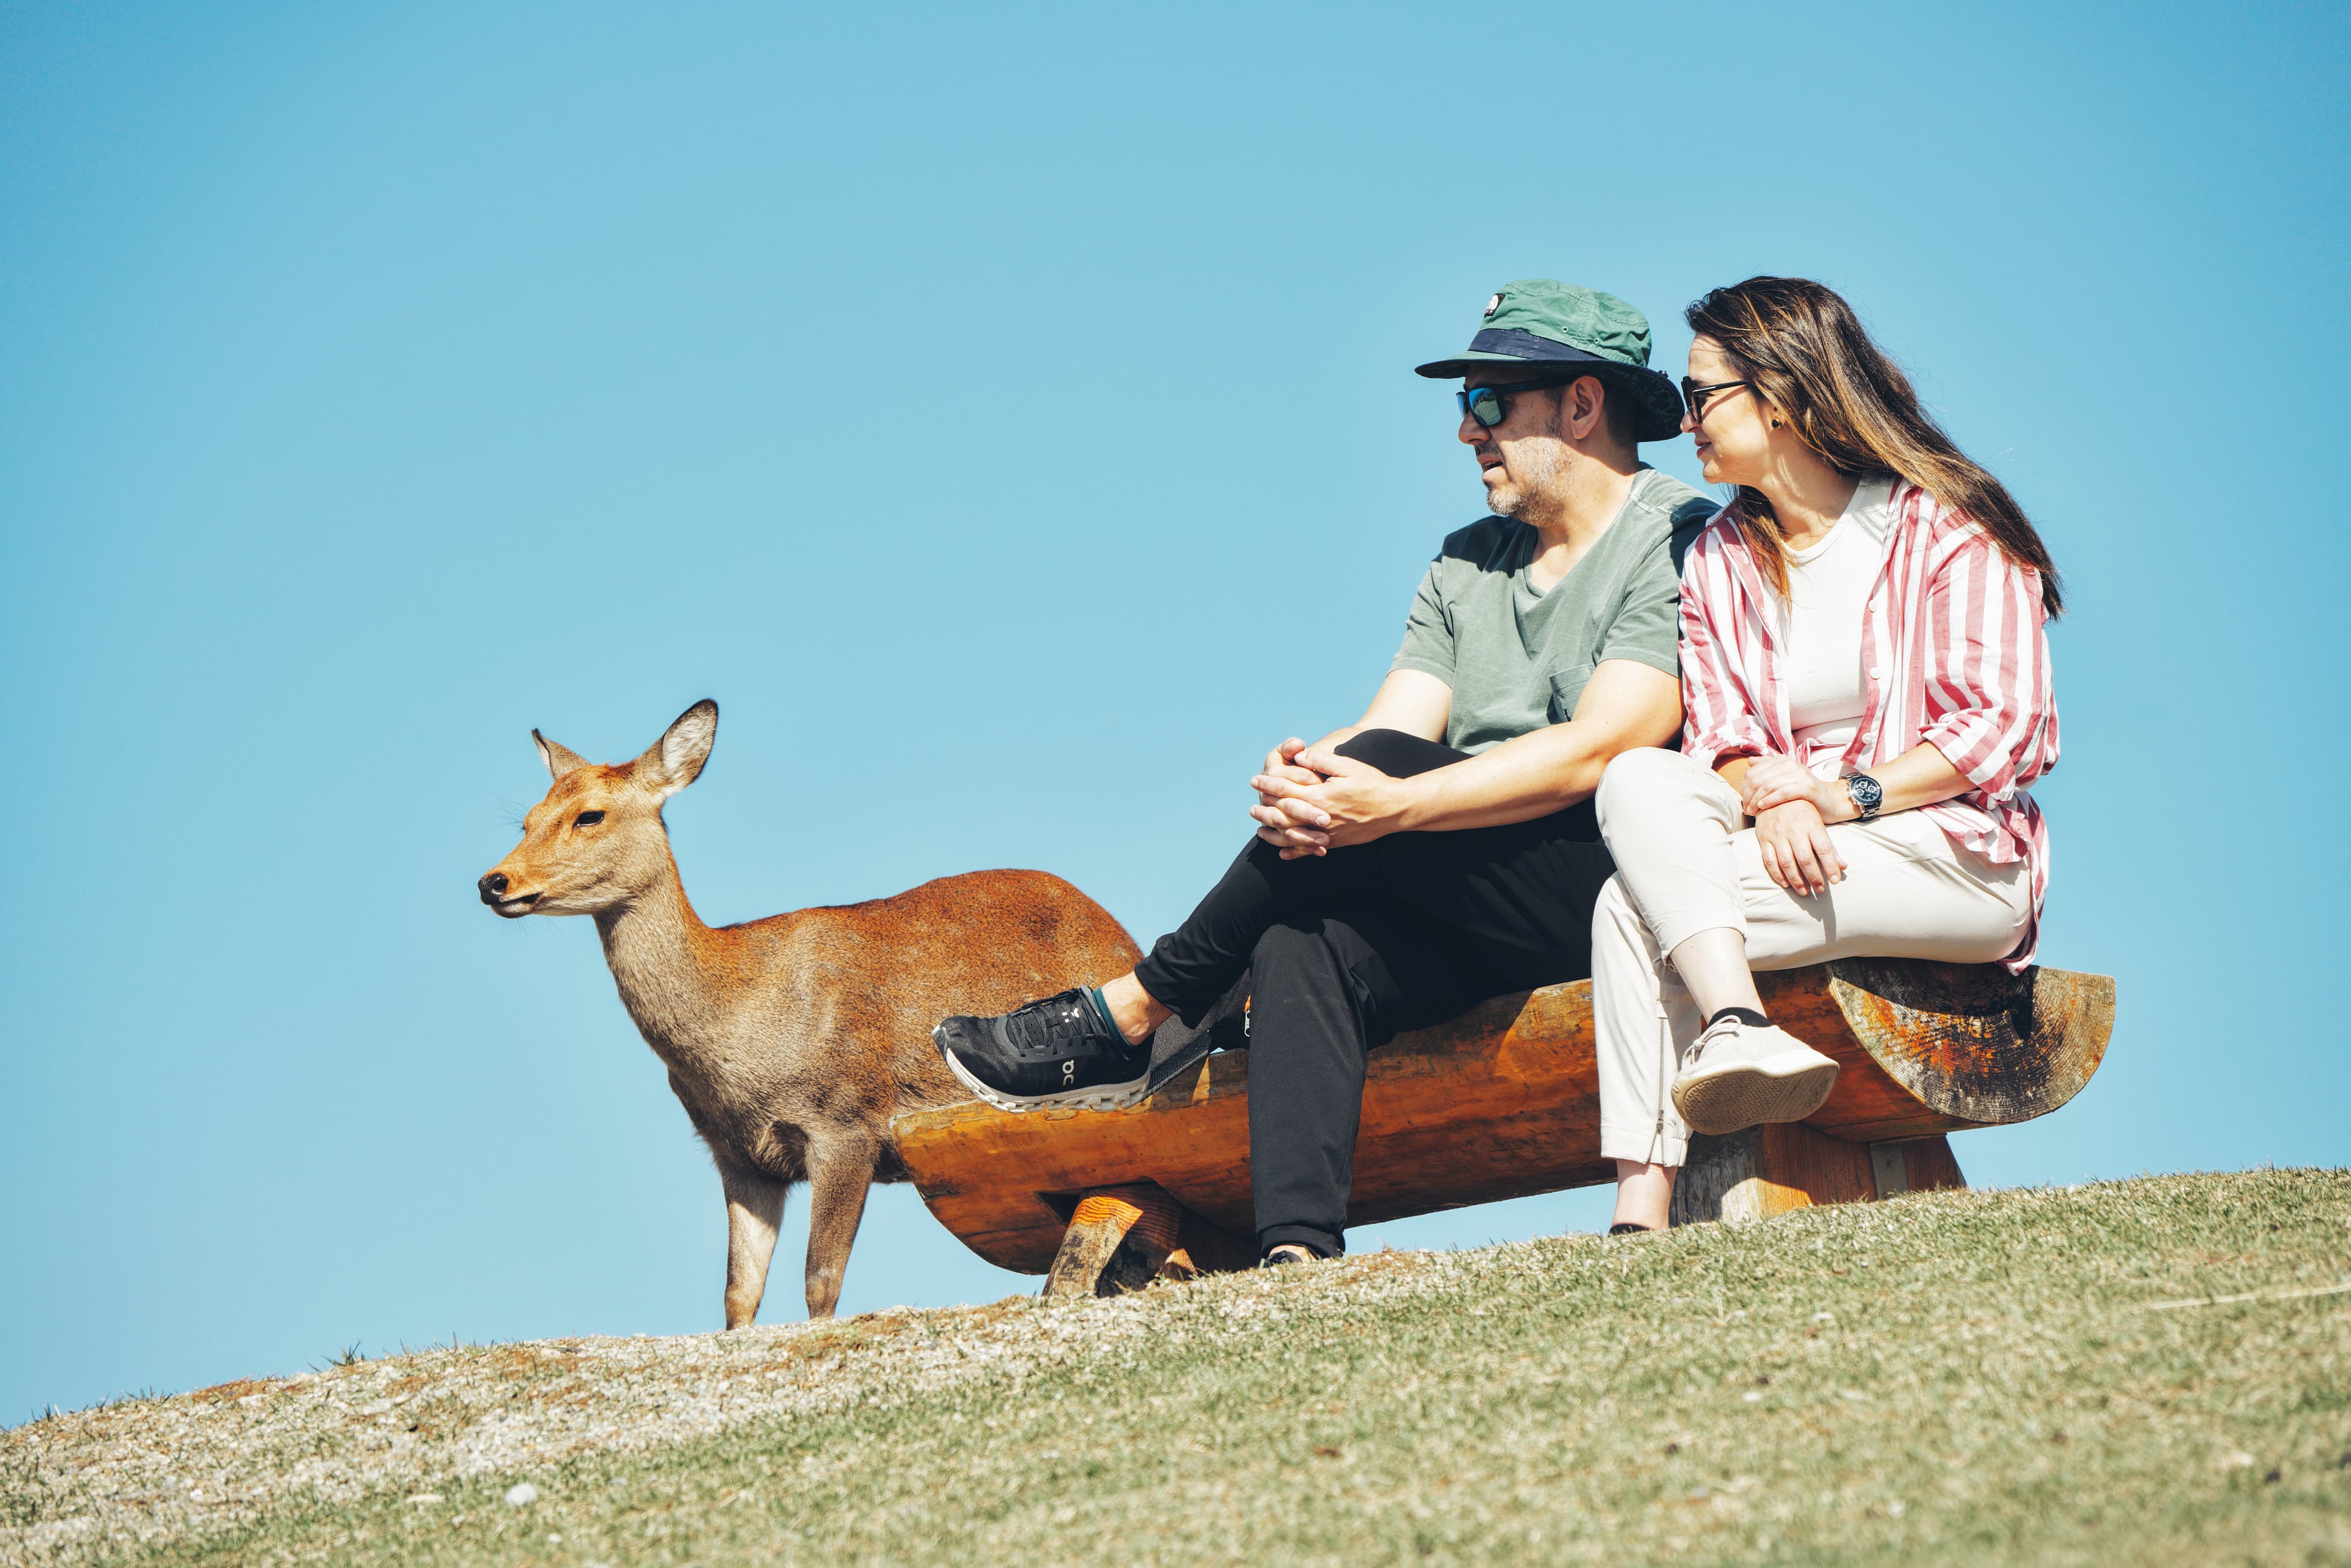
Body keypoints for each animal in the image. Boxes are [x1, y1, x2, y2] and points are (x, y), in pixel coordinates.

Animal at [476, 699, 1141, 1325]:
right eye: (527, 819)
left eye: (590, 814)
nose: (494, 881)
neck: (740, 1024)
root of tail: (1125, 938)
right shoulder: (740, 1155)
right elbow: (739, 1293)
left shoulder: (849, 1121)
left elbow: (821, 1281)